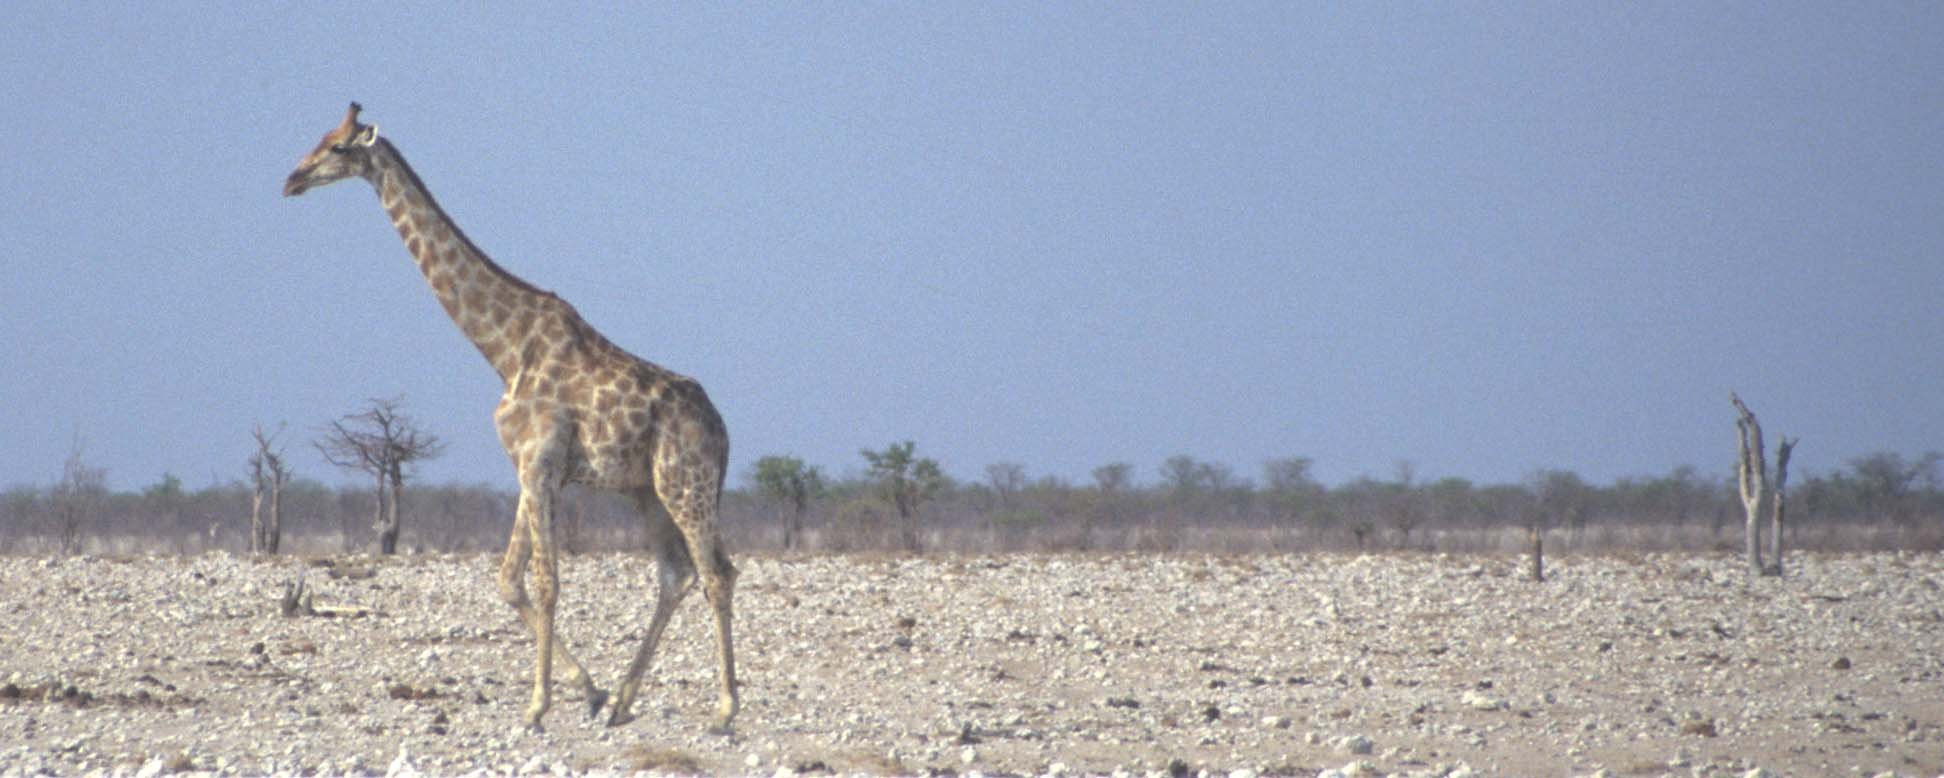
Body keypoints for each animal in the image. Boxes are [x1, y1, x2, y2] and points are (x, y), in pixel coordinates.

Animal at [283, 103, 737, 733]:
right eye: (322, 138)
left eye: (339, 147)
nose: (292, 180)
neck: (504, 348)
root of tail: (723, 429)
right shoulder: (529, 467)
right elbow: (509, 580)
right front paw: (589, 692)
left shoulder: (540, 465)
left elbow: (546, 582)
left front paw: (537, 705)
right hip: (646, 490)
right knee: (678, 573)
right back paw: (624, 702)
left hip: (684, 482)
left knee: (717, 574)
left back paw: (724, 710)